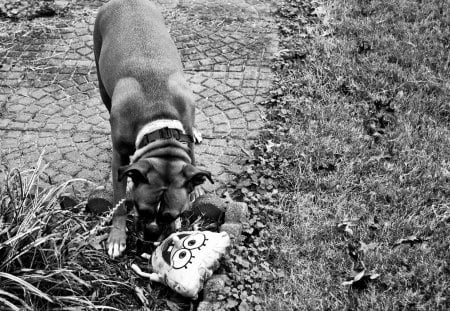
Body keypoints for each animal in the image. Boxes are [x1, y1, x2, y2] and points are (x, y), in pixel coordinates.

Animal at [93, 0, 213, 258]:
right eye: (141, 210)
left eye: (171, 215)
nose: (152, 233)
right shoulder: (120, 159)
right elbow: (119, 201)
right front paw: (117, 236)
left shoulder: (185, 131)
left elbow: (191, 160)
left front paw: (195, 188)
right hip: (101, 81)